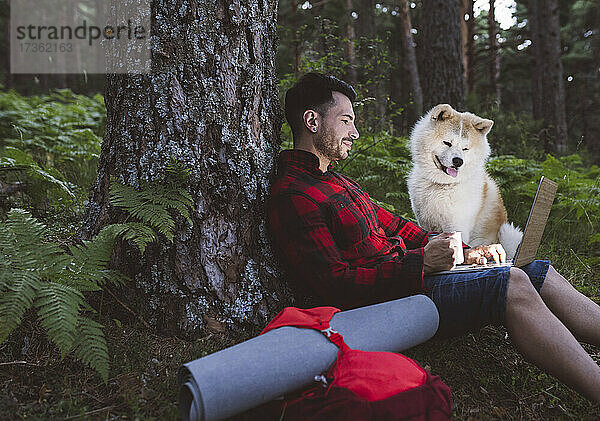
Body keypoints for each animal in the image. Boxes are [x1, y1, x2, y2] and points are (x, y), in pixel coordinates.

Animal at [406, 103, 524, 258]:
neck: (444, 185)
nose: (458, 161)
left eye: (465, 148)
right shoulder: (425, 224)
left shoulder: (456, 226)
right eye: (447, 143)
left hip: (507, 232)